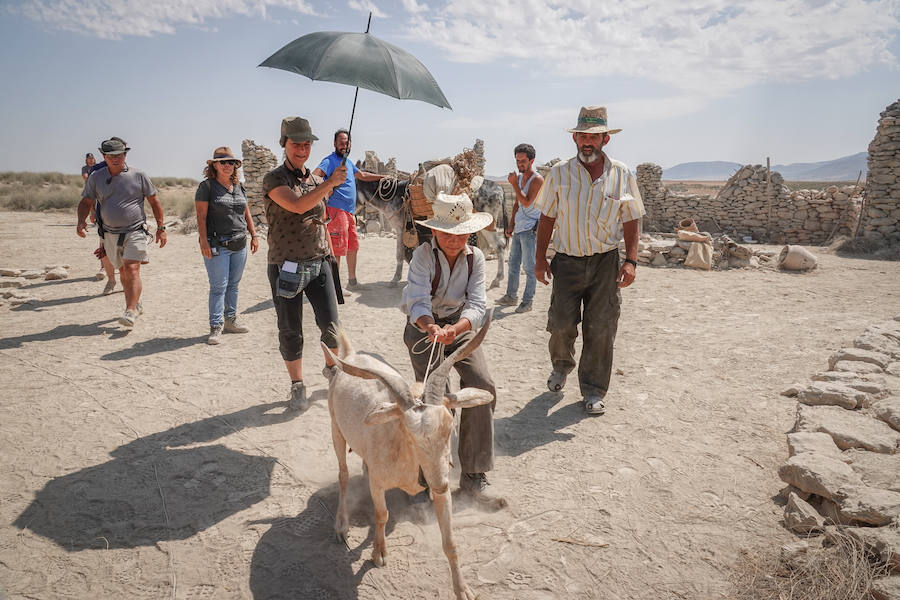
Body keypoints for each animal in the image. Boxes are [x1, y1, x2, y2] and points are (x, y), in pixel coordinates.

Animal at [322, 314, 492, 600]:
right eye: (410, 434)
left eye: (450, 426)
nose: (440, 483)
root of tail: (349, 353)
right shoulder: (378, 484)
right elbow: (382, 514)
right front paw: (378, 553)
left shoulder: (440, 487)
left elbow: (450, 541)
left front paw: (463, 589)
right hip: (335, 428)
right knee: (343, 475)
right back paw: (341, 526)